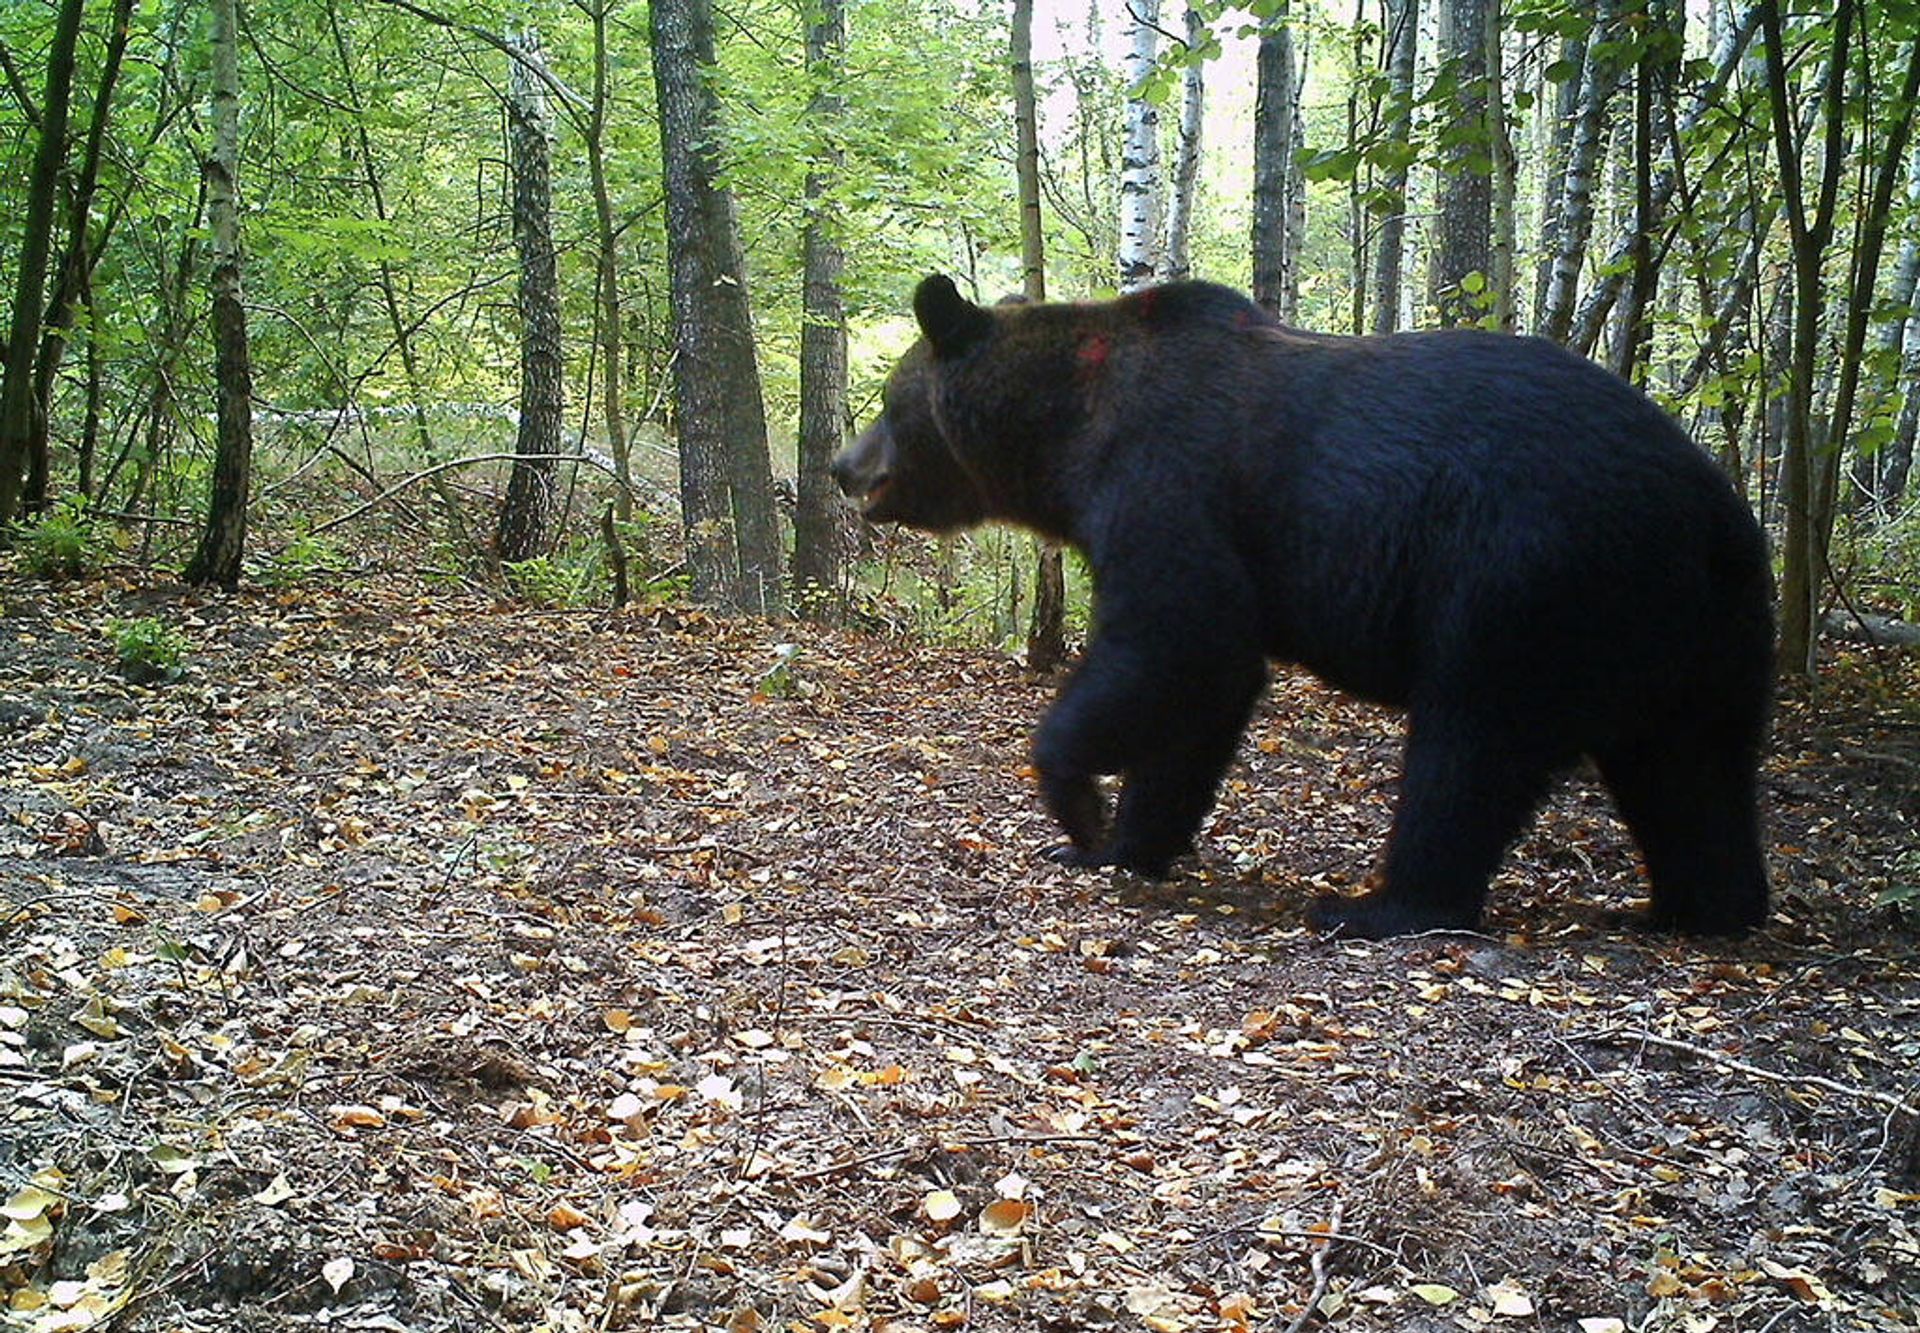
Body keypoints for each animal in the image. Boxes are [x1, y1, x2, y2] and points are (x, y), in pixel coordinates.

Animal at [829, 275, 1774, 939]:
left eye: (887, 400)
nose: (843, 464)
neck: (1070, 432)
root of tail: (1711, 507)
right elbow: (1202, 702)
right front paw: (1127, 841)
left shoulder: (1166, 480)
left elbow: (1181, 643)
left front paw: (1078, 805)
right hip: (1698, 630)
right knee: (1692, 767)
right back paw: (1699, 905)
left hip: (1523, 578)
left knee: (1471, 744)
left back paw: (1382, 905)